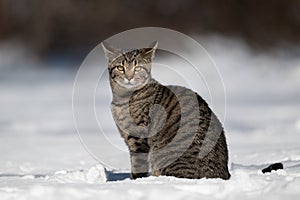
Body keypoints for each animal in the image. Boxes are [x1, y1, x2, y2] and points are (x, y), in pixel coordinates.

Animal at [102, 40, 231, 180]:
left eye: (138, 68)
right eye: (120, 68)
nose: (129, 77)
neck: (123, 99)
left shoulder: (139, 139)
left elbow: (138, 166)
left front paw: (134, 181)